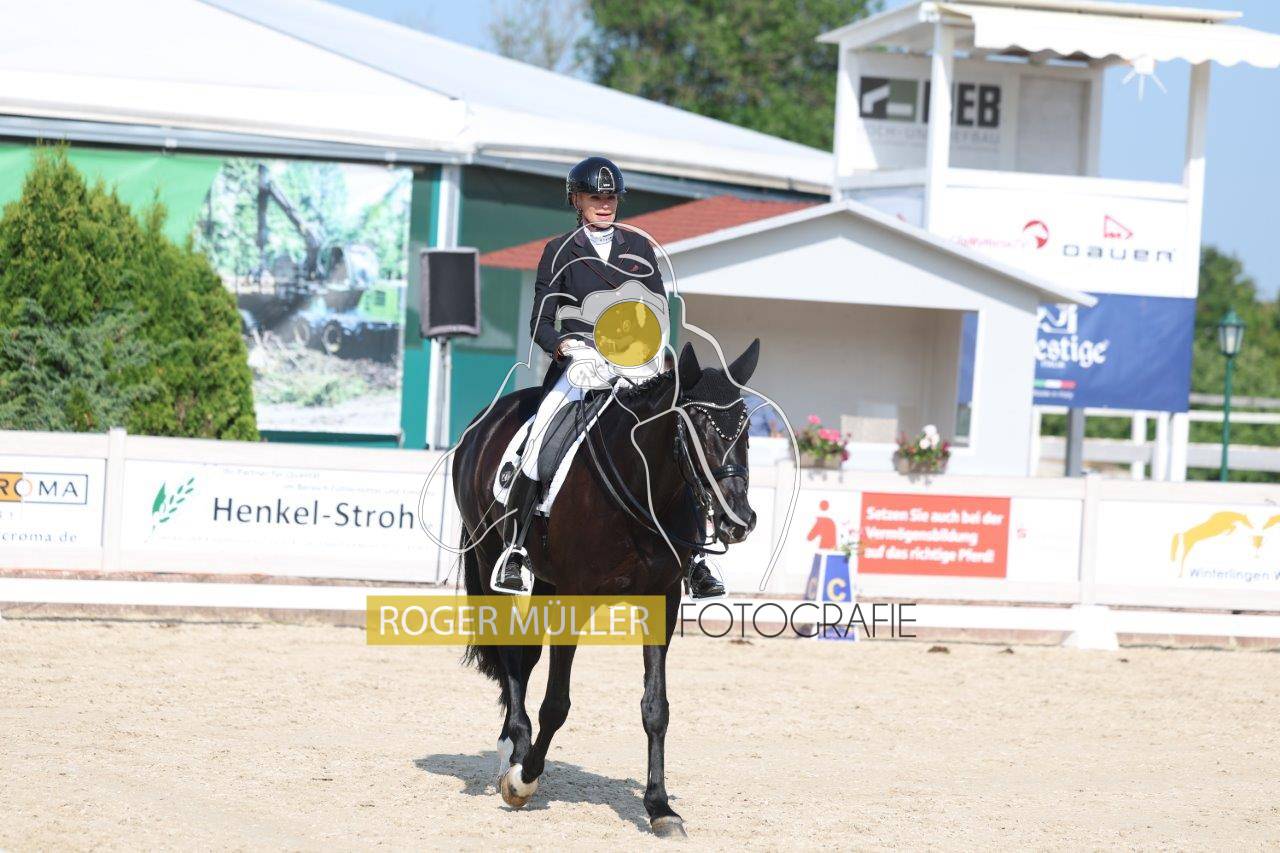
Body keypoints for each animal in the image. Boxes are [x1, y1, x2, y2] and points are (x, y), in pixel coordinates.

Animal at [452, 339, 760, 838]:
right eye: (695, 428)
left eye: (747, 428)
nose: (740, 521)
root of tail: (489, 416)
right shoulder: (575, 595)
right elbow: (556, 703)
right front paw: (524, 780)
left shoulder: (662, 599)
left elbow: (656, 708)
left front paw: (660, 807)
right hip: (490, 556)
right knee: (510, 649)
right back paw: (514, 752)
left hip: (547, 579)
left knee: (526, 652)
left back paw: (513, 747)